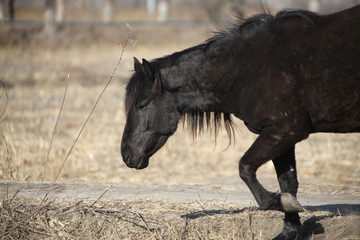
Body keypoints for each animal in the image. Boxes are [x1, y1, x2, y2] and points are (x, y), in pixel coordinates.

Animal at [121, 4, 360, 239]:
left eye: (142, 104)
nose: (126, 155)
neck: (249, 69)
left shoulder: (285, 131)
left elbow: (245, 167)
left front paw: (280, 203)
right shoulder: (283, 137)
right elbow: (288, 183)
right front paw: (290, 228)